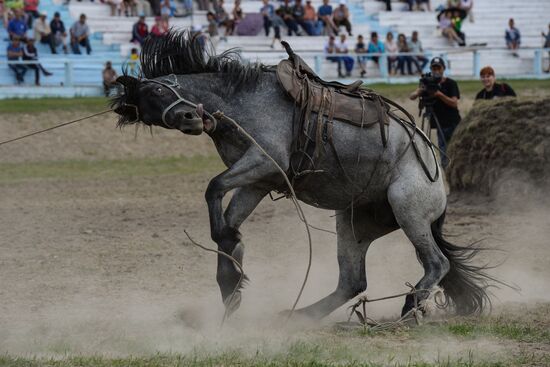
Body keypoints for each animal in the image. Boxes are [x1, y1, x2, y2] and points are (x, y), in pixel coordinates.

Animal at [111, 30, 496, 320]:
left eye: (157, 90)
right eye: (148, 112)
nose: (191, 119)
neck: (242, 101)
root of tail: (435, 175)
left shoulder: (264, 162)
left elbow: (213, 187)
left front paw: (230, 258)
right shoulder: (257, 180)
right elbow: (225, 214)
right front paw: (231, 282)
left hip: (409, 211)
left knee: (436, 263)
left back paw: (409, 305)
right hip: (354, 224)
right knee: (353, 282)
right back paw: (299, 315)